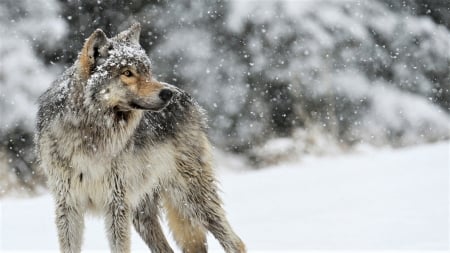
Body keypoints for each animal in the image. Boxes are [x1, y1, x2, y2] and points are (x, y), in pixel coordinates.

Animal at [36, 22, 246, 252]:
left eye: (148, 70)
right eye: (127, 73)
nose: (167, 94)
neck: (91, 135)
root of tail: (186, 96)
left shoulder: (116, 204)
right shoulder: (68, 205)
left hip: (192, 198)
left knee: (236, 242)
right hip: (142, 214)